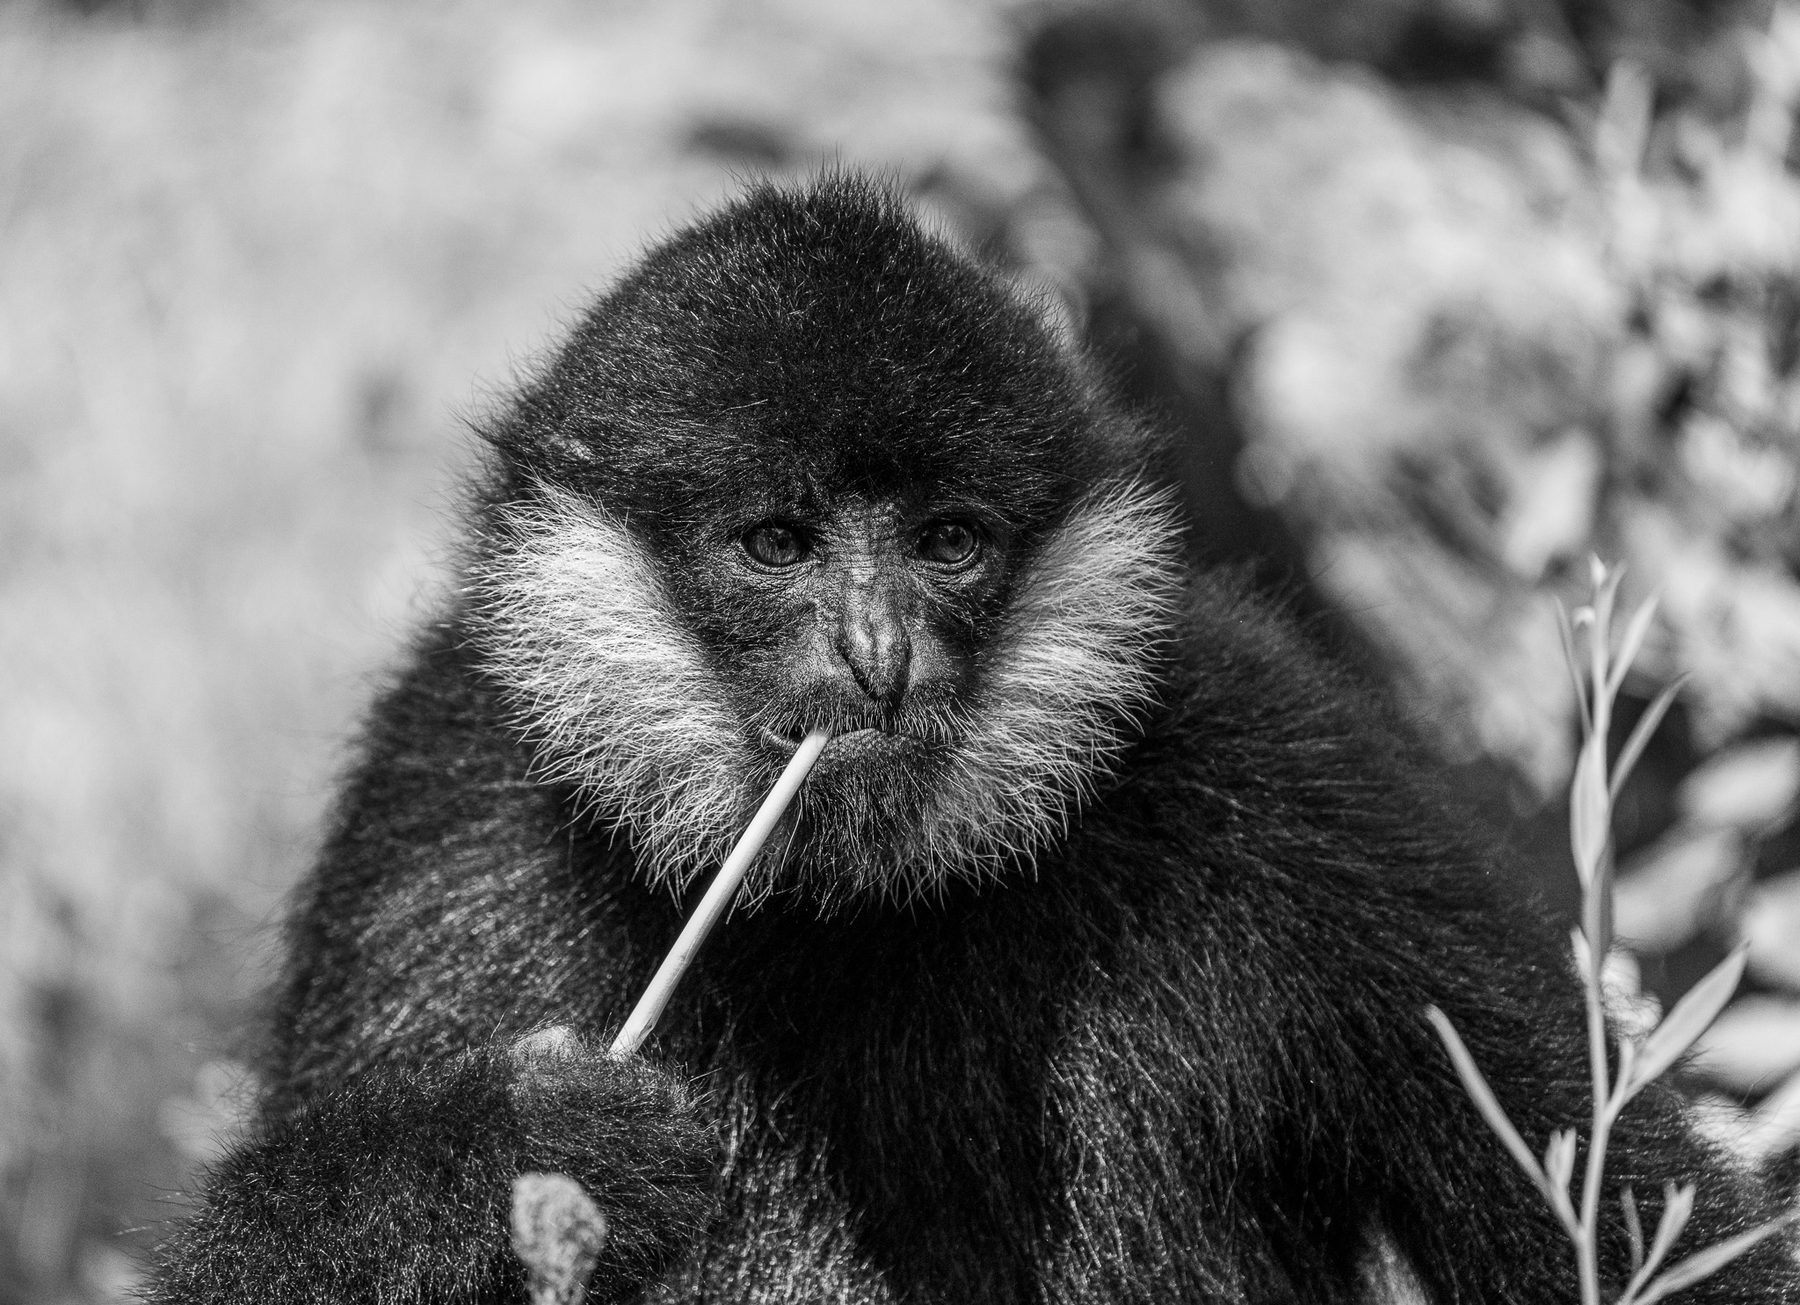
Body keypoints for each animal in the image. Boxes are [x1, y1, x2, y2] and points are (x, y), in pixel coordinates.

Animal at [147, 173, 1800, 1303]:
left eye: (949, 541)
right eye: (779, 543)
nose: (878, 652)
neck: (845, 918)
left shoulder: (1277, 758)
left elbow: (1665, 1222)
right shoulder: (443, 801)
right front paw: (529, 1149)